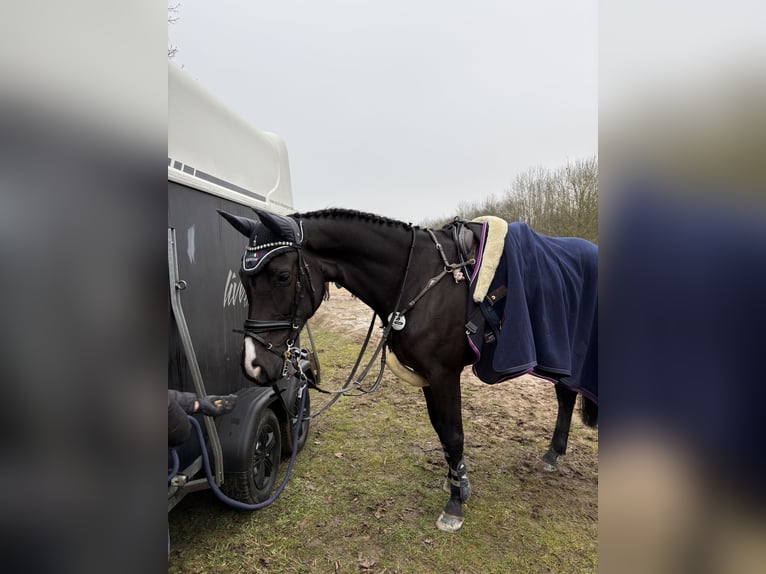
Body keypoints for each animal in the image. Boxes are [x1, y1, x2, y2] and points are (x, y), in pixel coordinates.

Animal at [218, 208, 600, 536]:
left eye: (282, 276)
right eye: (243, 282)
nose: (253, 363)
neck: (418, 276)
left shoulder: (444, 374)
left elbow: (454, 434)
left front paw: (454, 506)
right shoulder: (429, 375)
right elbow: (442, 431)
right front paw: (458, 482)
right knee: (565, 396)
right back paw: (553, 454)